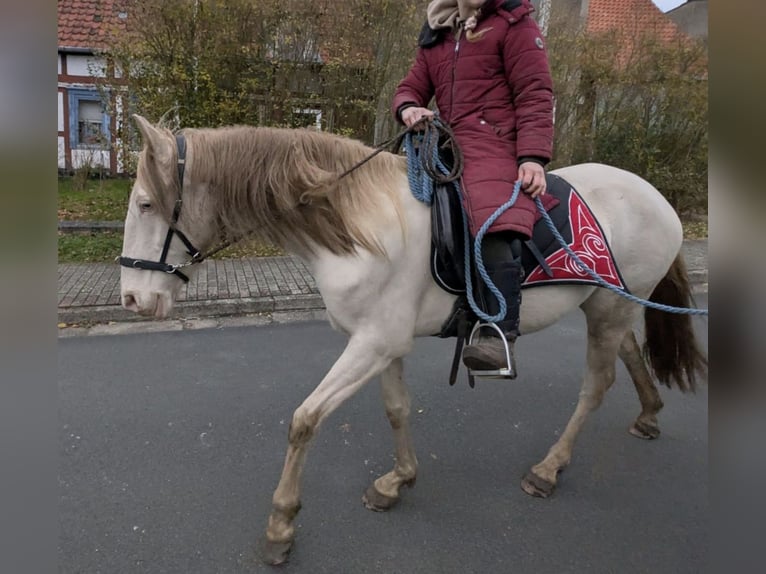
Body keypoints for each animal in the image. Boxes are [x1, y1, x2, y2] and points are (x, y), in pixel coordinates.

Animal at [118, 115, 708, 564]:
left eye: (145, 204)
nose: (131, 299)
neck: (360, 224)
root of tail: (655, 196)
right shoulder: (383, 344)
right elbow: (398, 409)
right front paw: (396, 482)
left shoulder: (372, 344)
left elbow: (305, 420)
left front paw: (281, 525)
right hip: (609, 305)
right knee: (629, 354)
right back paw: (649, 413)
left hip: (610, 309)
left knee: (597, 383)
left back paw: (549, 467)